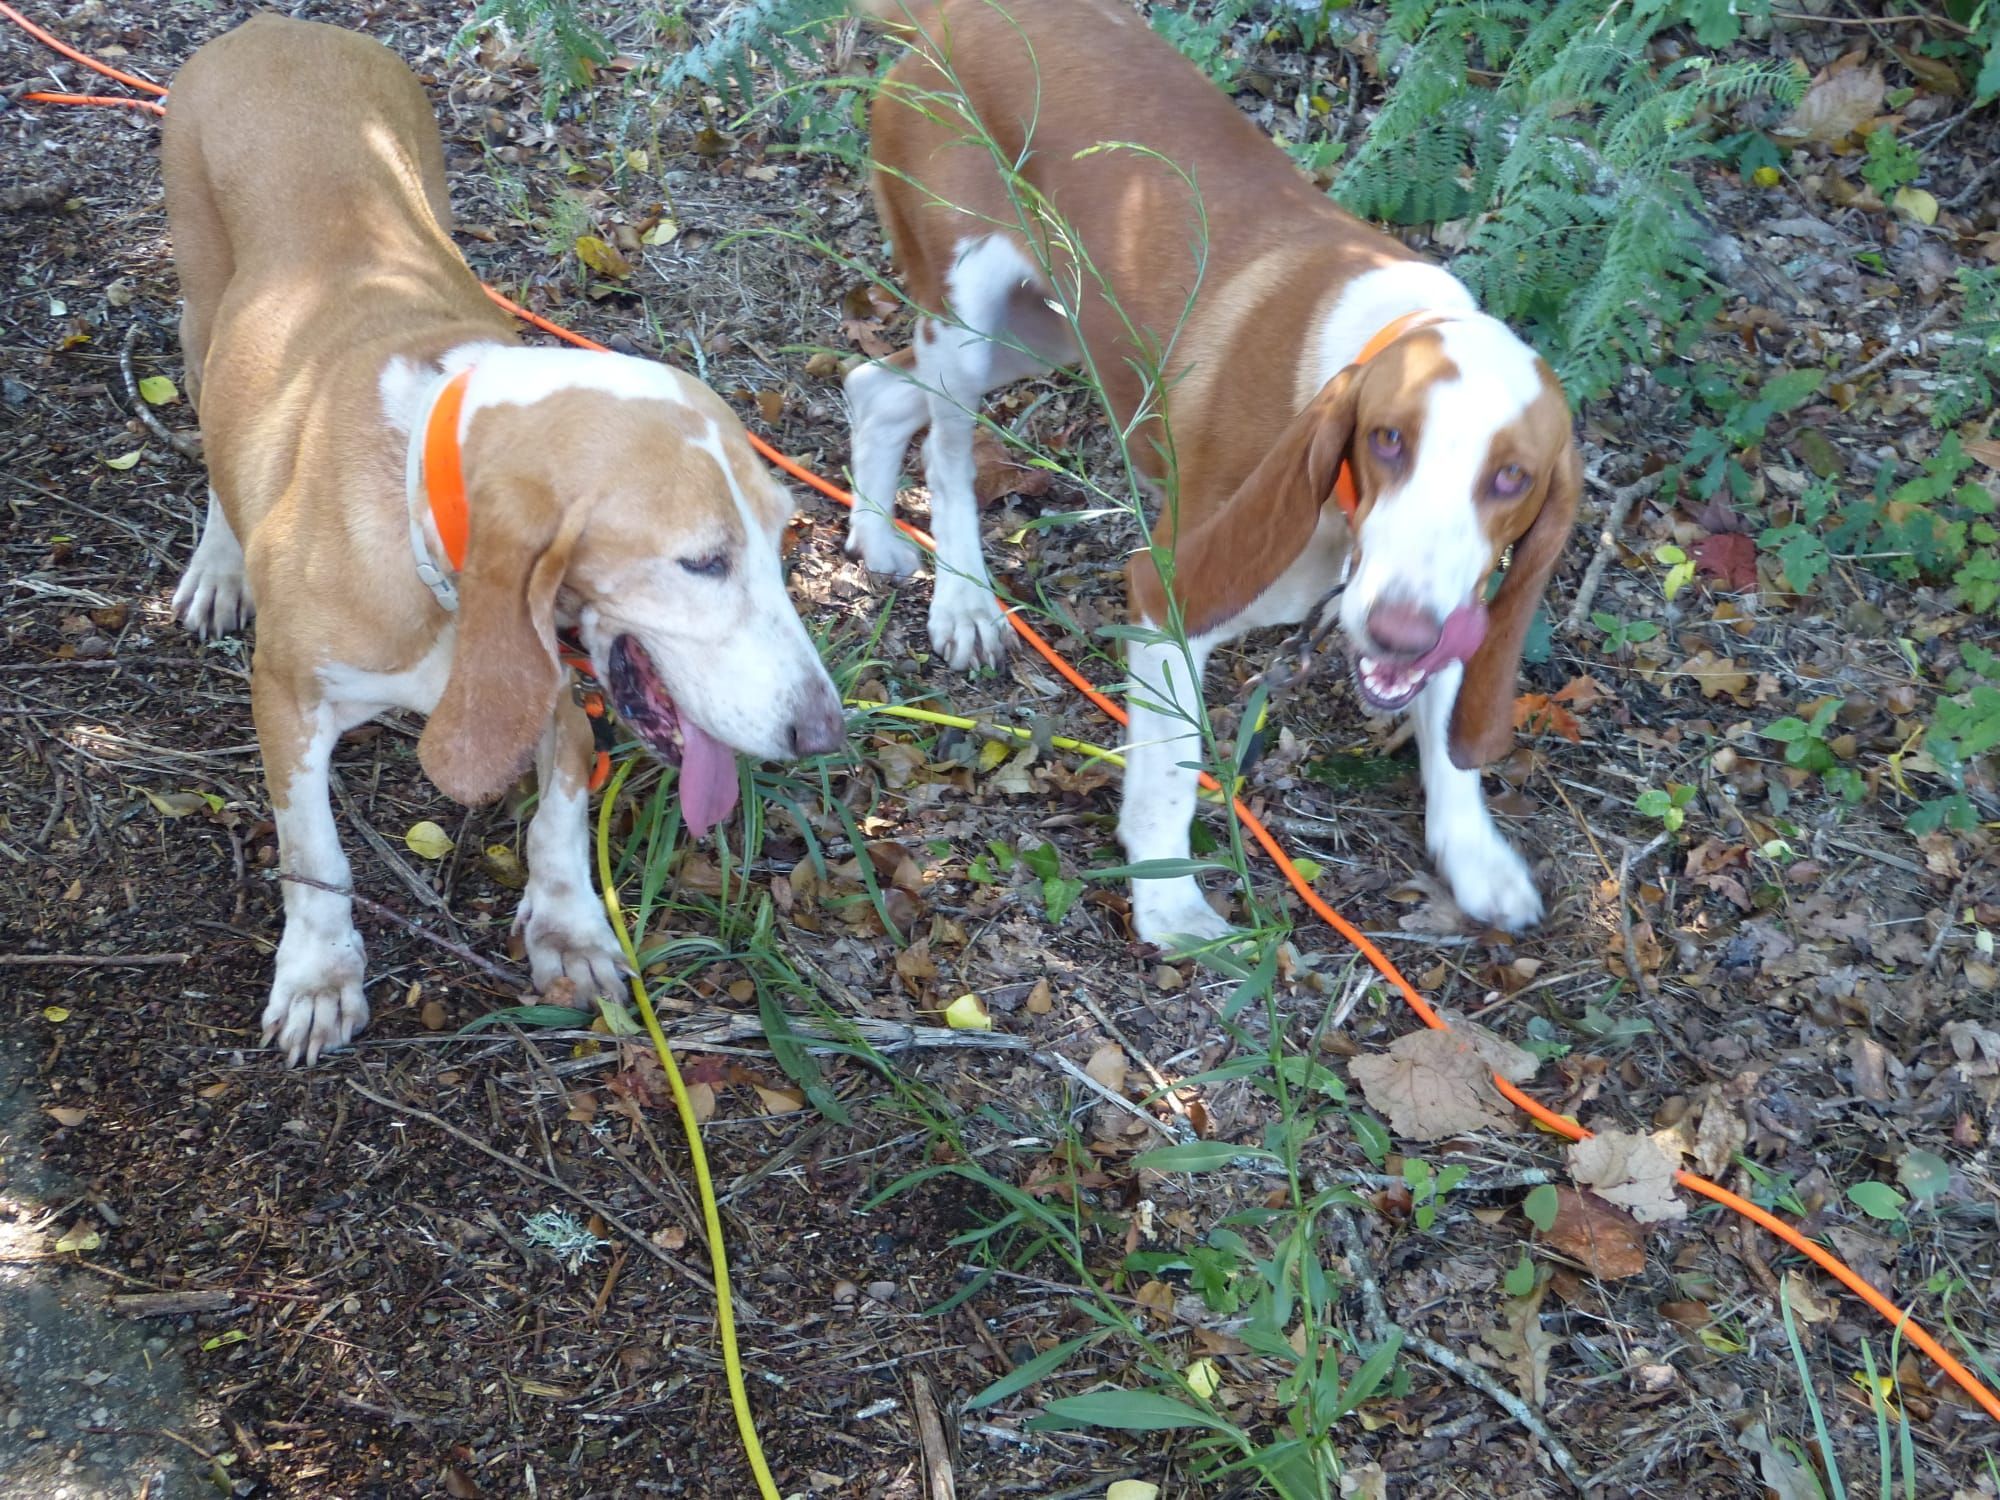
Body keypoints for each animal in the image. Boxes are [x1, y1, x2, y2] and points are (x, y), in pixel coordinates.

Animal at [160, 14, 840, 1072]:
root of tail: (278, 24)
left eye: (781, 542)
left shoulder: (547, 681)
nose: (824, 735)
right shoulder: (287, 696)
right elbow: (313, 851)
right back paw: (217, 564)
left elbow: (561, 816)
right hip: (200, 309)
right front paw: (318, 975)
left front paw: (570, 929)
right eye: (702, 561)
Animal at [844, 0, 1576, 940]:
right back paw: (964, 601)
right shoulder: (1168, 597)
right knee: (942, 454)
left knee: (875, 389)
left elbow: (1449, 718)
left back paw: (874, 535)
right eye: (1386, 439)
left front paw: (1475, 854)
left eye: (1511, 479)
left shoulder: (1454, 597)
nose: (1396, 634)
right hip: (969, 321)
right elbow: (1169, 772)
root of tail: (954, 16)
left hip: (1043, 332)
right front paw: (1171, 906)